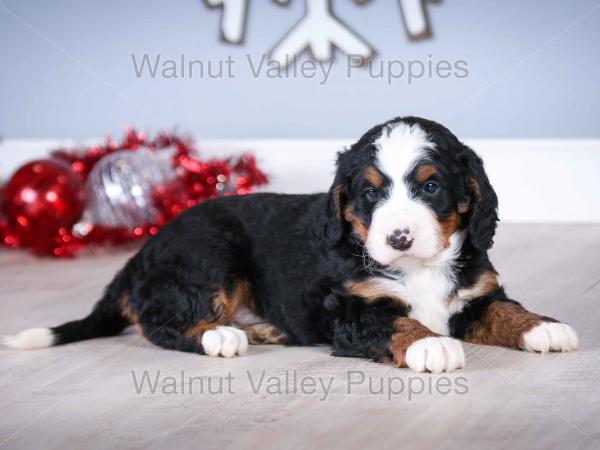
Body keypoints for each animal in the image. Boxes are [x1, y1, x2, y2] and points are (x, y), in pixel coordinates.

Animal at [3, 116, 576, 372]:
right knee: (160, 323)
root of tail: (144, 249)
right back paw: (221, 336)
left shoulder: (477, 292)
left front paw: (544, 327)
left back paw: (259, 329)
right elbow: (398, 322)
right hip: (211, 252)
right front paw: (430, 343)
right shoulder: (353, 310)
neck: (420, 267)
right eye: (371, 192)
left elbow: (505, 310)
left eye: (431, 186)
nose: (398, 237)